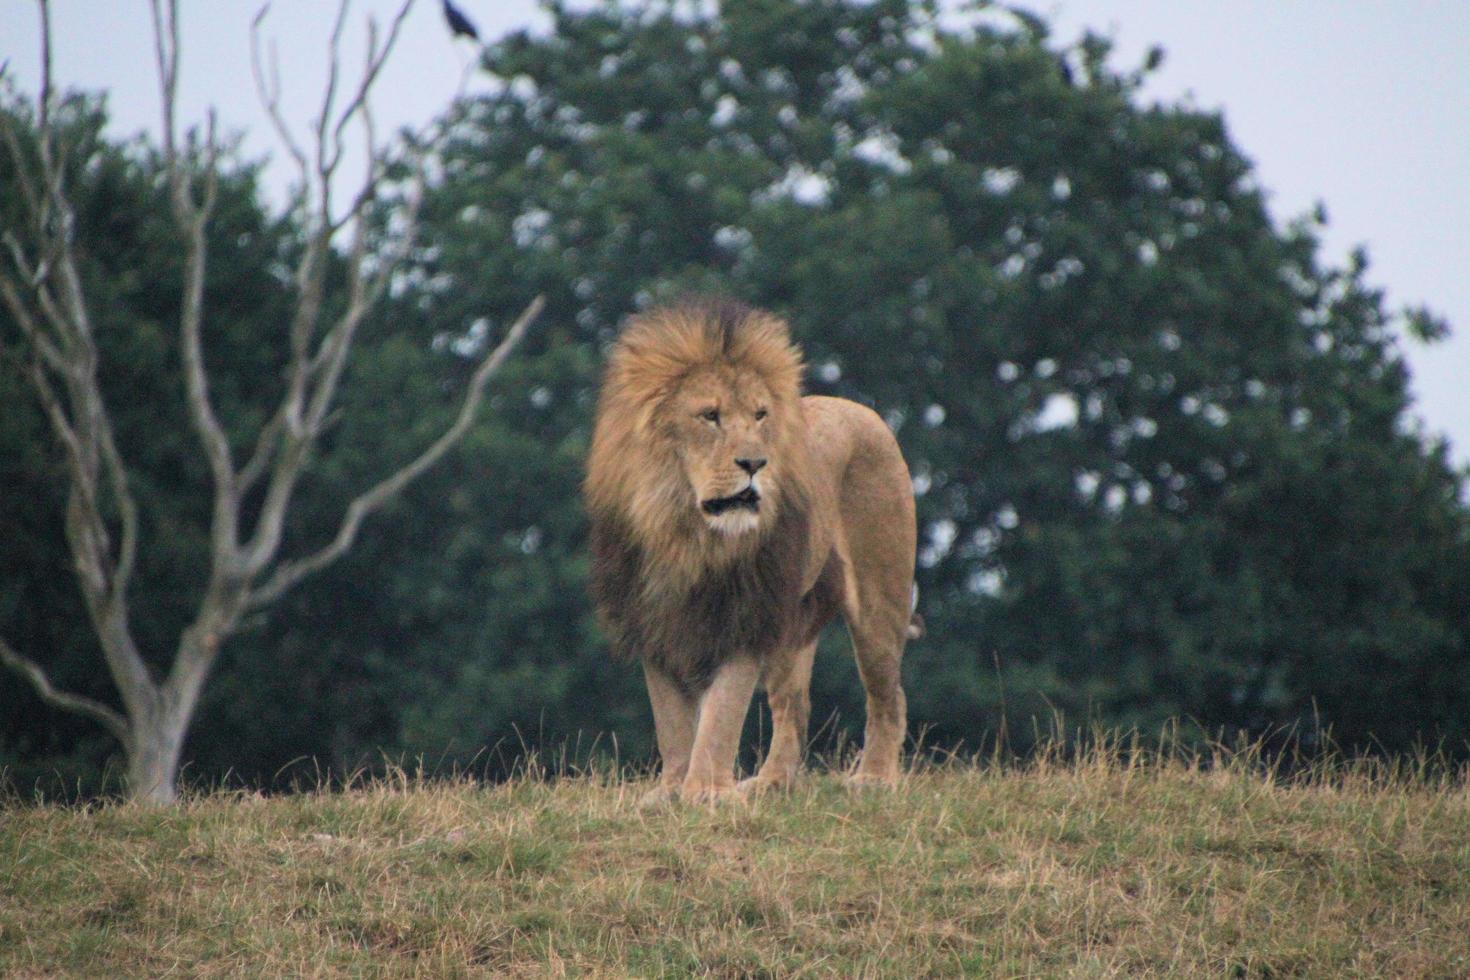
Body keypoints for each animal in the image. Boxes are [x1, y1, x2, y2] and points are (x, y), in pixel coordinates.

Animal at [585, 301, 917, 805]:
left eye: (760, 415)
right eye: (710, 416)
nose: (756, 462)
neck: (686, 534)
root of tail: (862, 410)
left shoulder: (747, 616)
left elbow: (721, 714)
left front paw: (706, 792)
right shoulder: (652, 621)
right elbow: (671, 722)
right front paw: (670, 792)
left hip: (878, 597)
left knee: (888, 696)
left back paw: (874, 779)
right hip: (791, 621)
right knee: (794, 705)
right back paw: (772, 782)